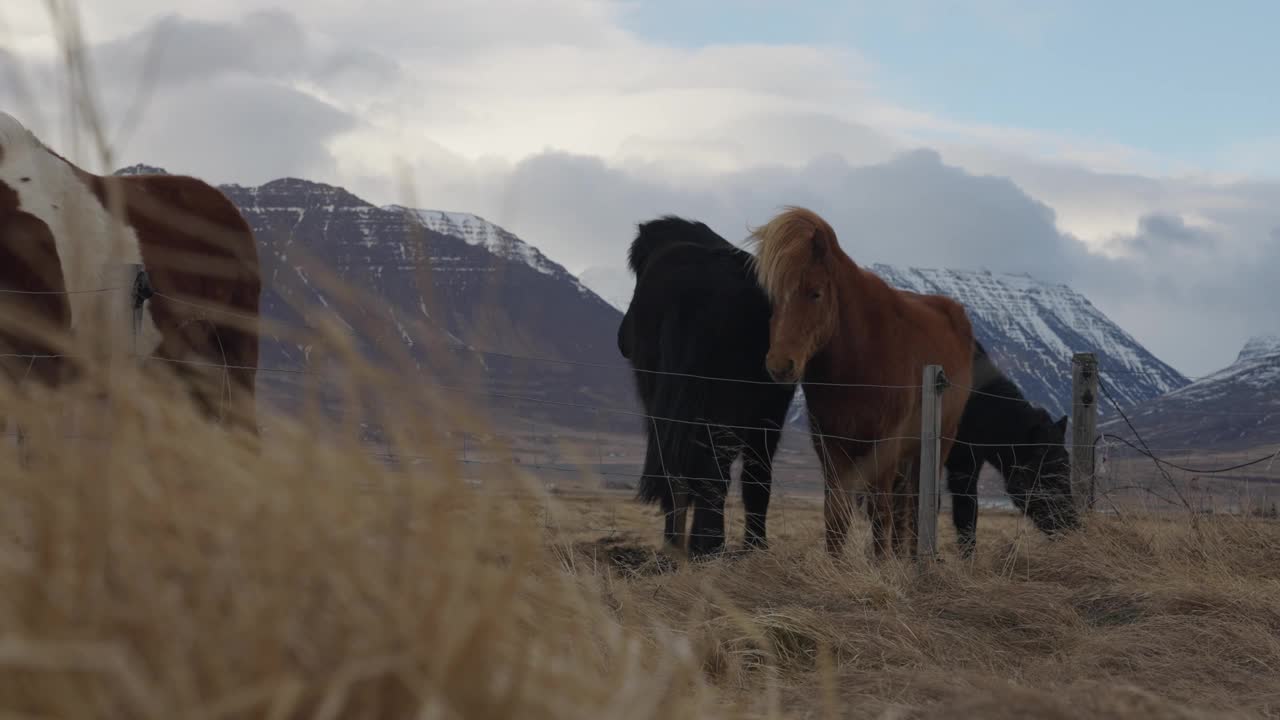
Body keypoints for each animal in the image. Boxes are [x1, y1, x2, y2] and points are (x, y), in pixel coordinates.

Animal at [747, 204, 972, 558]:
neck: (859, 361)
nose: (780, 365)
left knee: (918, 503)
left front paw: (881, 566)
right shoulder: (830, 447)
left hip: (940, 440)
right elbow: (836, 515)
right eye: (774, 297)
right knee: (905, 504)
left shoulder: (885, 446)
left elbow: (880, 513)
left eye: (815, 293)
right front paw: (837, 564)